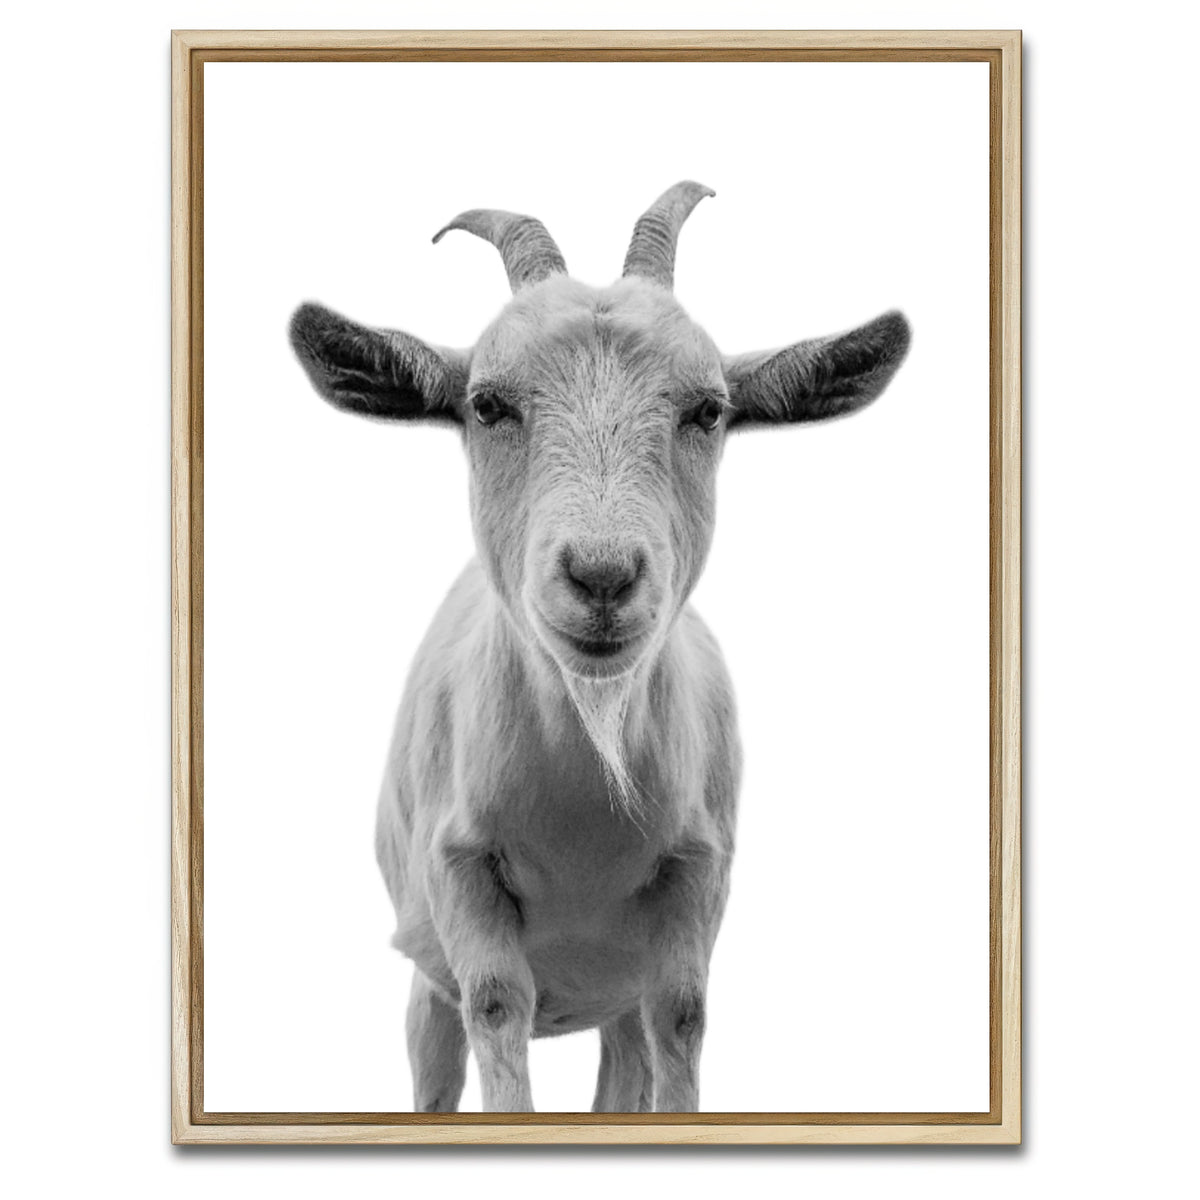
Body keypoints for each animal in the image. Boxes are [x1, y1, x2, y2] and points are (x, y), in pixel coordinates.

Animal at [289, 182, 911, 1113]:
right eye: (487, 404)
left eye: (708, 410)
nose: (603, 575)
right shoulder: (460, 873)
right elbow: (496, 1005)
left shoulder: (695, 878)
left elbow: (681, 1016)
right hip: (426, 978)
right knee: (435, 1066)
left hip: (612, 998)